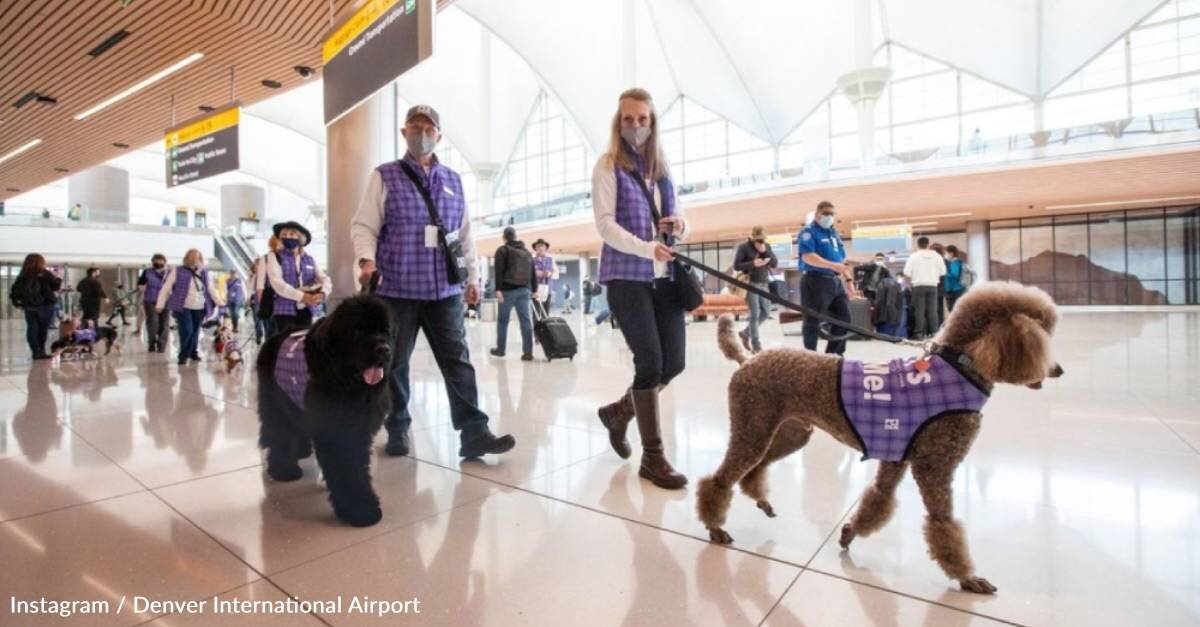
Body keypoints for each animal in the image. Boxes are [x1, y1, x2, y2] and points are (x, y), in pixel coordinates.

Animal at [256, 293, 396, 521]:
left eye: (386, 331)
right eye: (358, 331)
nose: (384, 349)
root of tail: (275, 337)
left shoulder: (359, 426)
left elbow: (357, 465)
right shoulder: (335, 430)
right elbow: (347, 470)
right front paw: (361, 510)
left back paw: (301, 451)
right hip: (276, 402)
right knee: (279, 433)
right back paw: (284, 470)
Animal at [700, 281, 1065, 593]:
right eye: (1043, 333)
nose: (1059, 370)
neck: (957, 367)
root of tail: (748, 360)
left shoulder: (896, 458)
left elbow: (877, 499)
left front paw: (849, 533)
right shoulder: (934, 467)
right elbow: (943, 524)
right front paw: (966, 577)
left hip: (787, 432)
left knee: (752, 470)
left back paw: (760, 500)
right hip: (754, 426)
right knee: (719, 479)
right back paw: (715, 526)